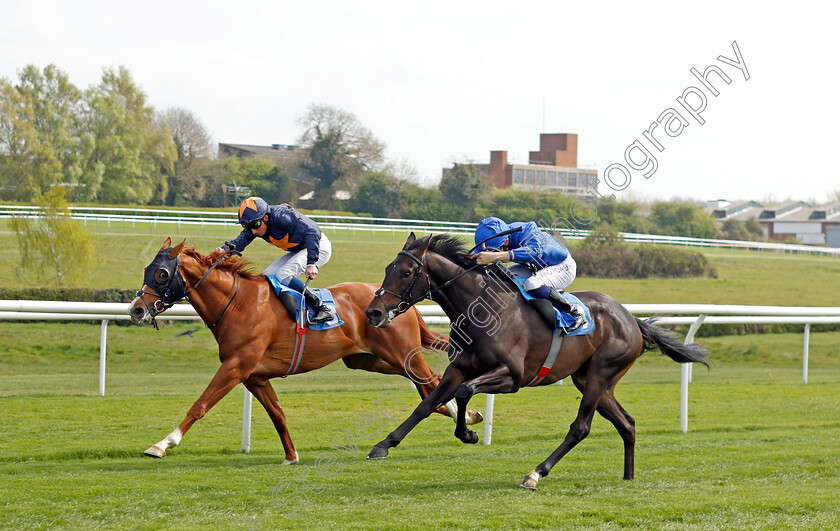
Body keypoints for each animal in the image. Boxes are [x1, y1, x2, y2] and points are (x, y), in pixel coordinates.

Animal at [126, 239, 480, 464]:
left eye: (161, 273)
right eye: (145, 270)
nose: (136, 309)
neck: (237, 304)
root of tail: (399, 302)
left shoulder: (237, 366)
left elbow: (200, 405)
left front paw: (161, 444)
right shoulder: (254, 376)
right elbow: (278, 414)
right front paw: (291, 456)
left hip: (400, 354)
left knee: (430, 380)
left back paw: (462, 416)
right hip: (367, 360)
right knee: (428, 385)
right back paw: (462, 414)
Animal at [364, 235, 704, 492]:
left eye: (407, 272)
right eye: (388, 268)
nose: (373, 312)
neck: (483, 309)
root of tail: (632, 319)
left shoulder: (512, 377)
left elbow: (464, 393)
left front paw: (469, 434)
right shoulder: (458, 369)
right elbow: (426, 405)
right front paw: (383, 444)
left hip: (600, 374)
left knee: (580, 428)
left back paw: (536, 473)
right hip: (592, 380)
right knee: (627, 423)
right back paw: (628, 477)